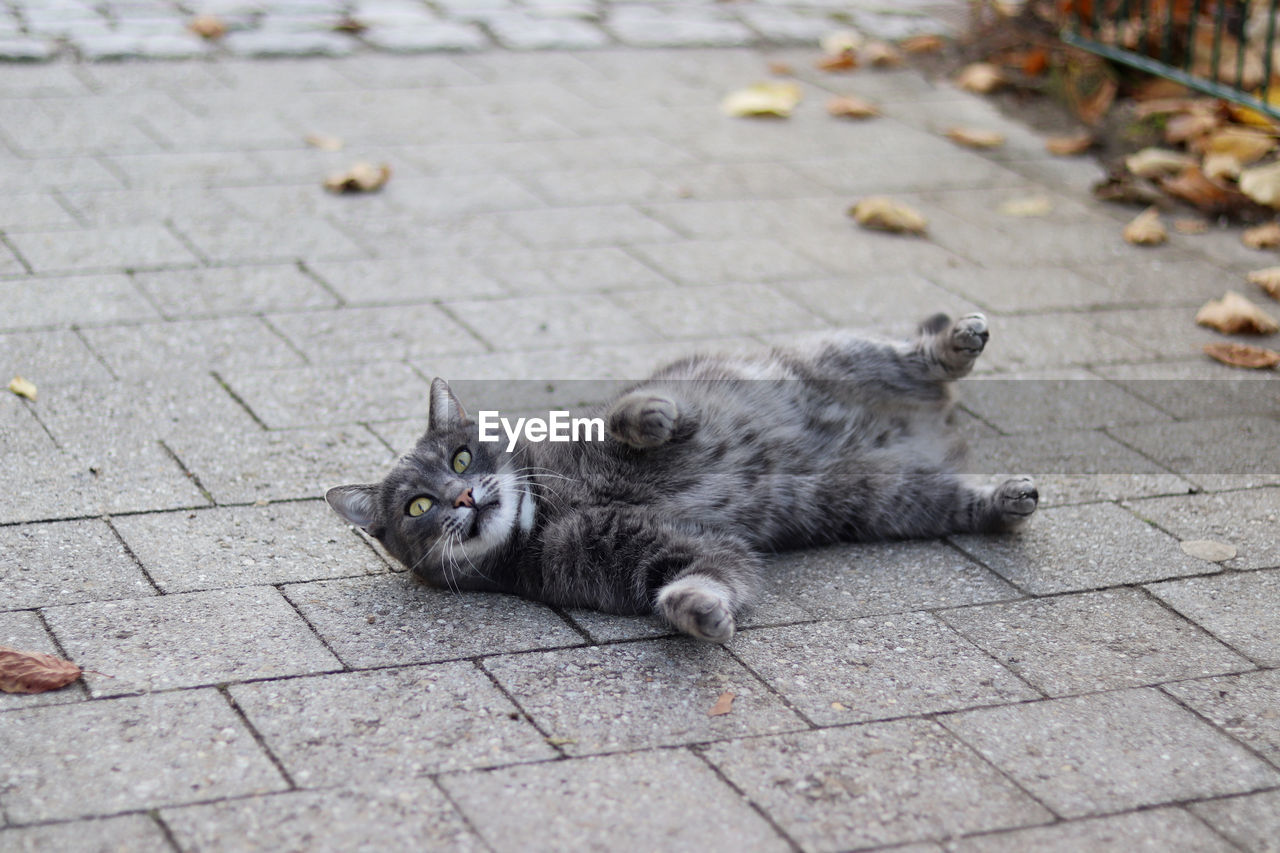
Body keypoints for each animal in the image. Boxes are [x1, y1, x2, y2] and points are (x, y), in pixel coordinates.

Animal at [325, 311, 1034, 637]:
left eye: (461, 458)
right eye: (418, 507)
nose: (464, 496)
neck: (548, 511)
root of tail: (934, 422)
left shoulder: (625, 421)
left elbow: (630, 414)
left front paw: (648, 414)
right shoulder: (672, 552)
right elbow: (704, 577)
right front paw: (695, 610)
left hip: (841, 356)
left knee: (915, 356)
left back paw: (956, 343)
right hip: (887, 498)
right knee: (951, 497)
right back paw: (1005, 498)